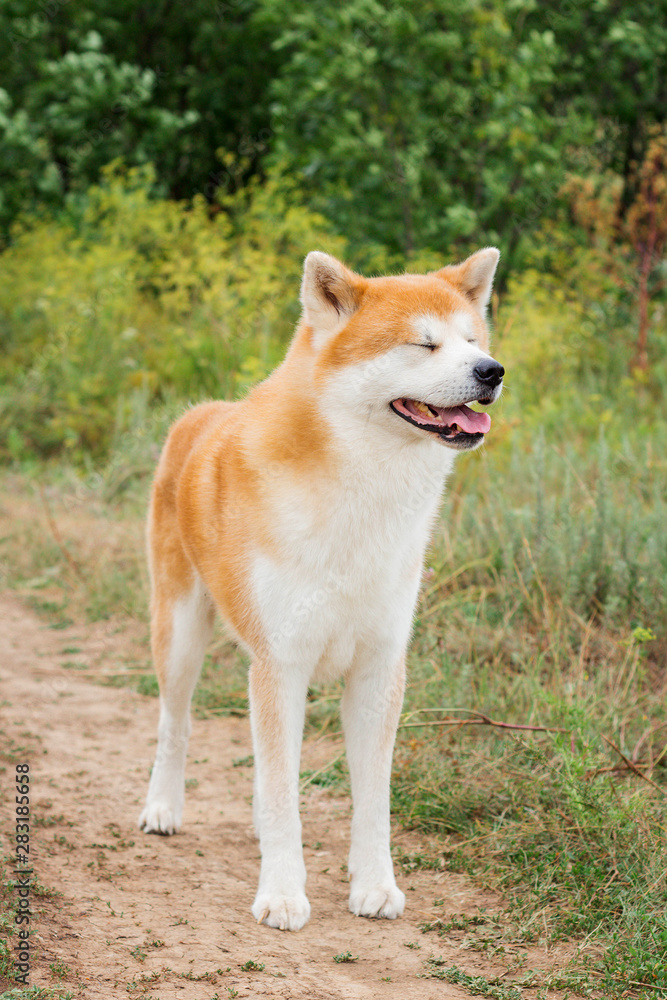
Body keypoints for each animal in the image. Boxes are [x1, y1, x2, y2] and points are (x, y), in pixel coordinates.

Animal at [138, 248, 504, 928]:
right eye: (423, 344)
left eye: (473, 341)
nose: (492, 371)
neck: (363, 497)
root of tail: (200, 413)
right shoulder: (282, 663)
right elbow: (286, 795)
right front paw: (282, 892)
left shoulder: (379, 669)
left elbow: (372, 801)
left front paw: (375, 885)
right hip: (180, 637)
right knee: (176, 726)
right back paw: (162, 808)